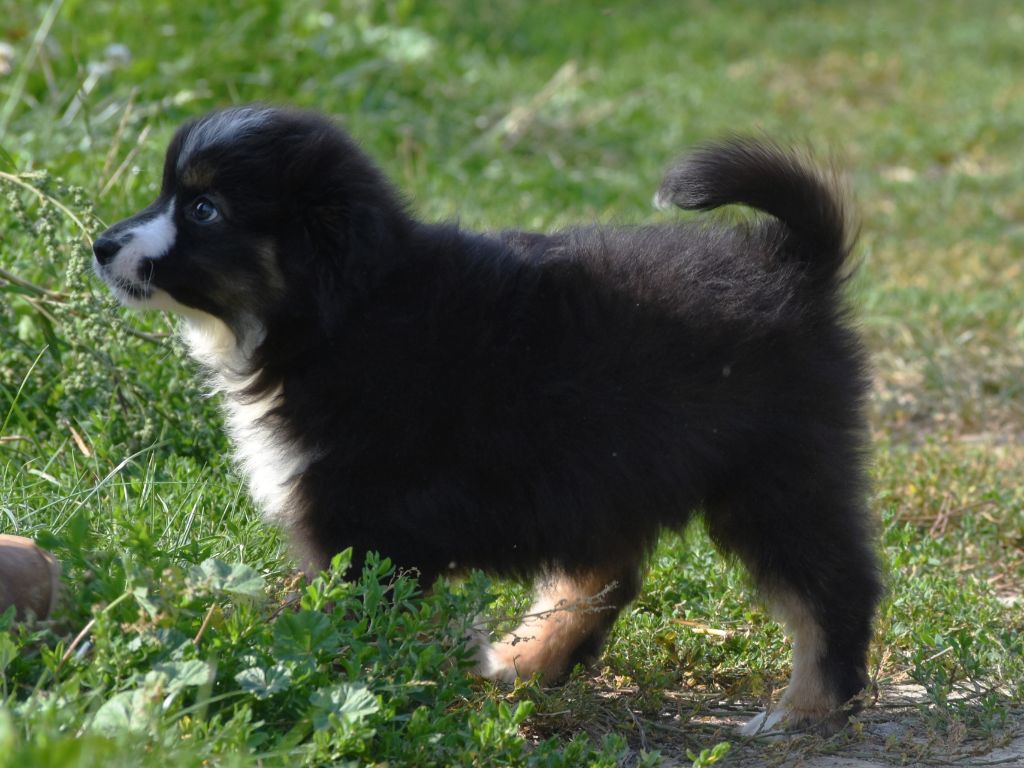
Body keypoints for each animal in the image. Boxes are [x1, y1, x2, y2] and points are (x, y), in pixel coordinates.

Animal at [93, 105, 881, 734]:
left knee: (830, 585)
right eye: (169, 193)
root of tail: (789, 262)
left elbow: (352, 624)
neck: (337, 313)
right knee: (603, 575)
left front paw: (341, 692)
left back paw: (805, 707)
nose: (101, 246)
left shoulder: (366, 524)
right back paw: (523, 661)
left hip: (774, 470)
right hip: (601, 466)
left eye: (204, 209)